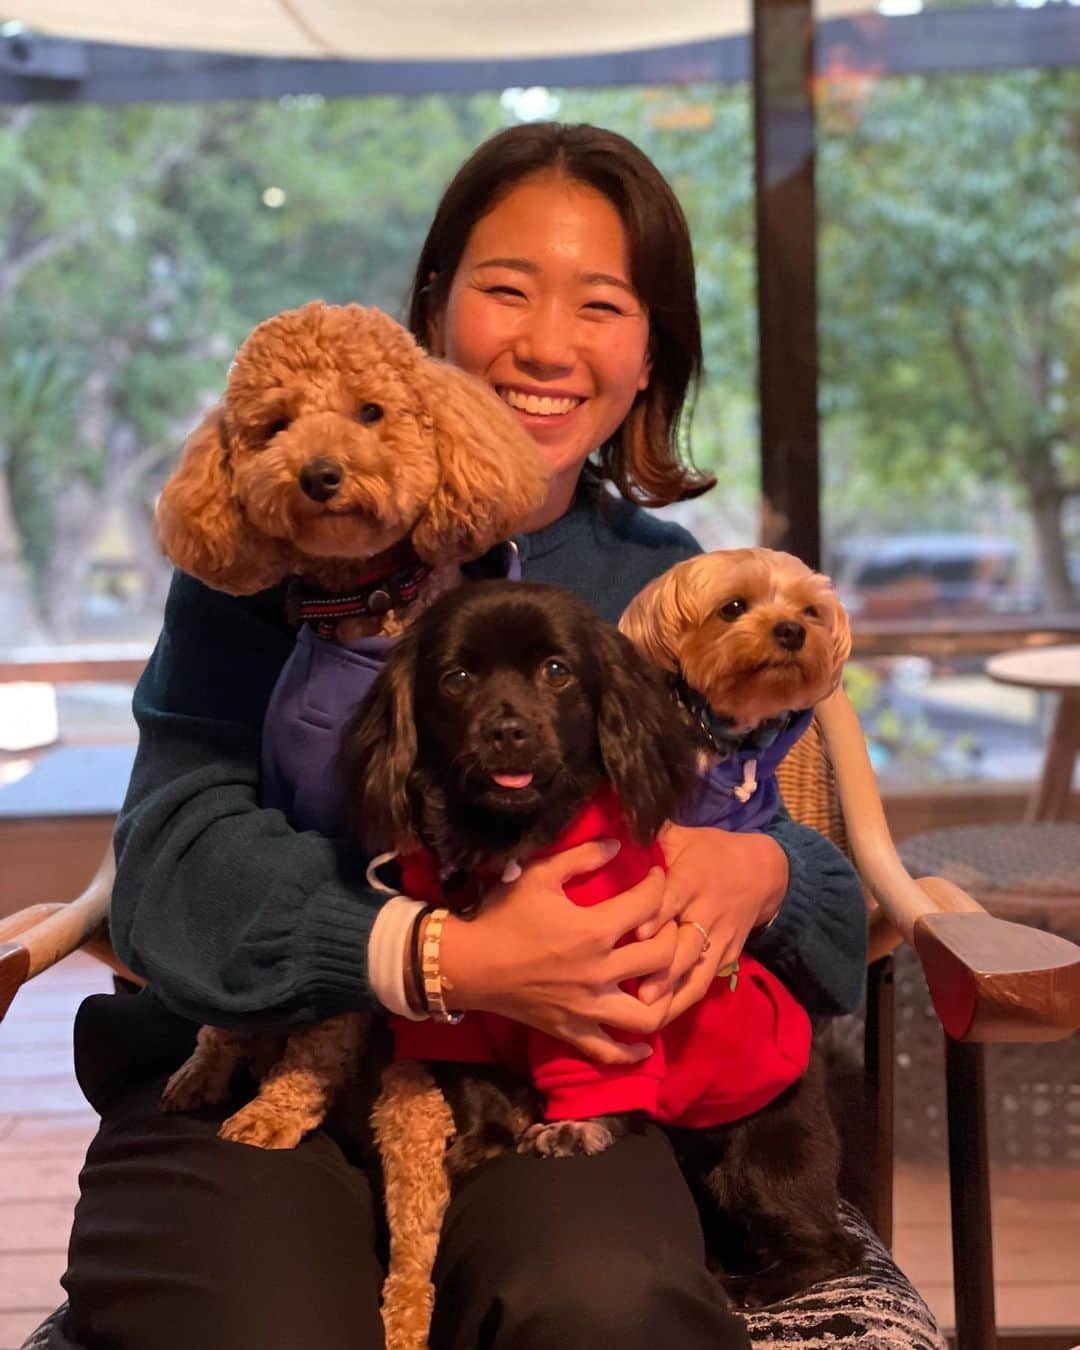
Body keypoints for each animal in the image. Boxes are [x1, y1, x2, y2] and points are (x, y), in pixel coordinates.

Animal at [341, 583, 858, 1306]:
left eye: (557, 672)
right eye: (457, 680)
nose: (507, 731)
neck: (503, 842)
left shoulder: (603, 1004)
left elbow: (591, 1079)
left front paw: (574, 1129)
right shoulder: (462, 1018)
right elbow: (473, 1084)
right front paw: (485, 1140)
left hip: (760, 1157)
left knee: (830, 1250)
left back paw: (749, 1285)